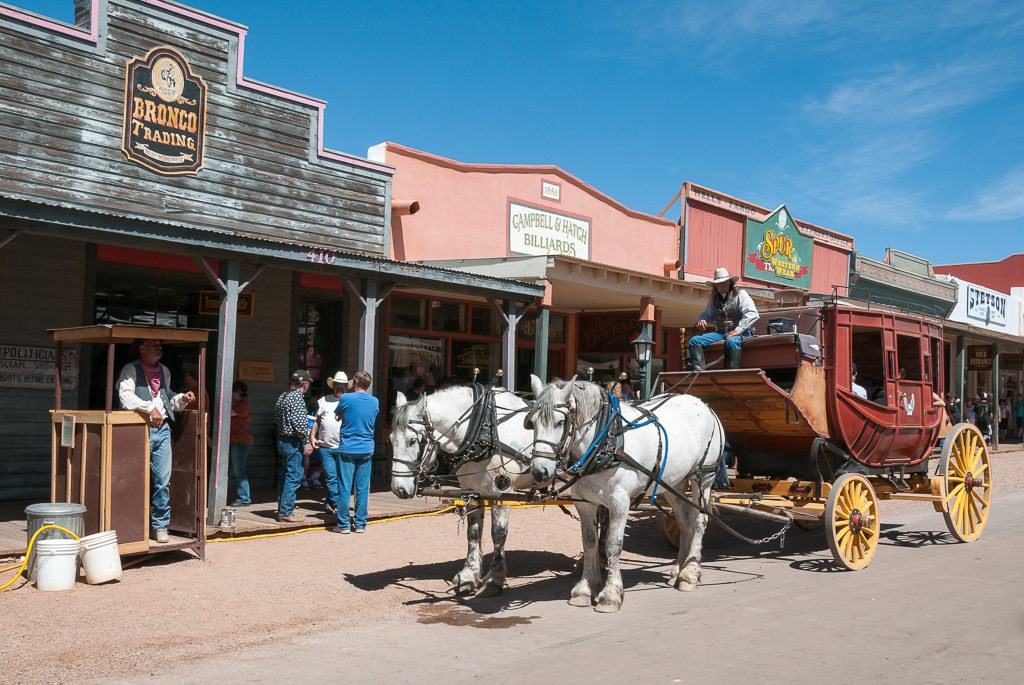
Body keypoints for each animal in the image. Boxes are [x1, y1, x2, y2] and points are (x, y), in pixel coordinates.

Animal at [389, 382, 536, 593]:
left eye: (412, 440)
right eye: (390, 439)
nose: (398, 488)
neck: (483, 429)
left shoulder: (501, 491)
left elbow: (498, 534)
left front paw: (495, 579)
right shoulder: (471, 491)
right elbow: (473, 533)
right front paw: (468, 576)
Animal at [532, 376, 724, 610]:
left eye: (560, 422)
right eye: (531, 422)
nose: (539, 471)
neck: (606, 441)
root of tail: (704, 405)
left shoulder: (619, 502)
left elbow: (613, 545)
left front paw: (610, 594)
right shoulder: (585, 504)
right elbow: (589, 543)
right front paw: (585, 589)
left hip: (703, 477)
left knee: (699, 521)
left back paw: (689, 574)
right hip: (673, 483)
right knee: (685, 520)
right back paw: (678, 571)